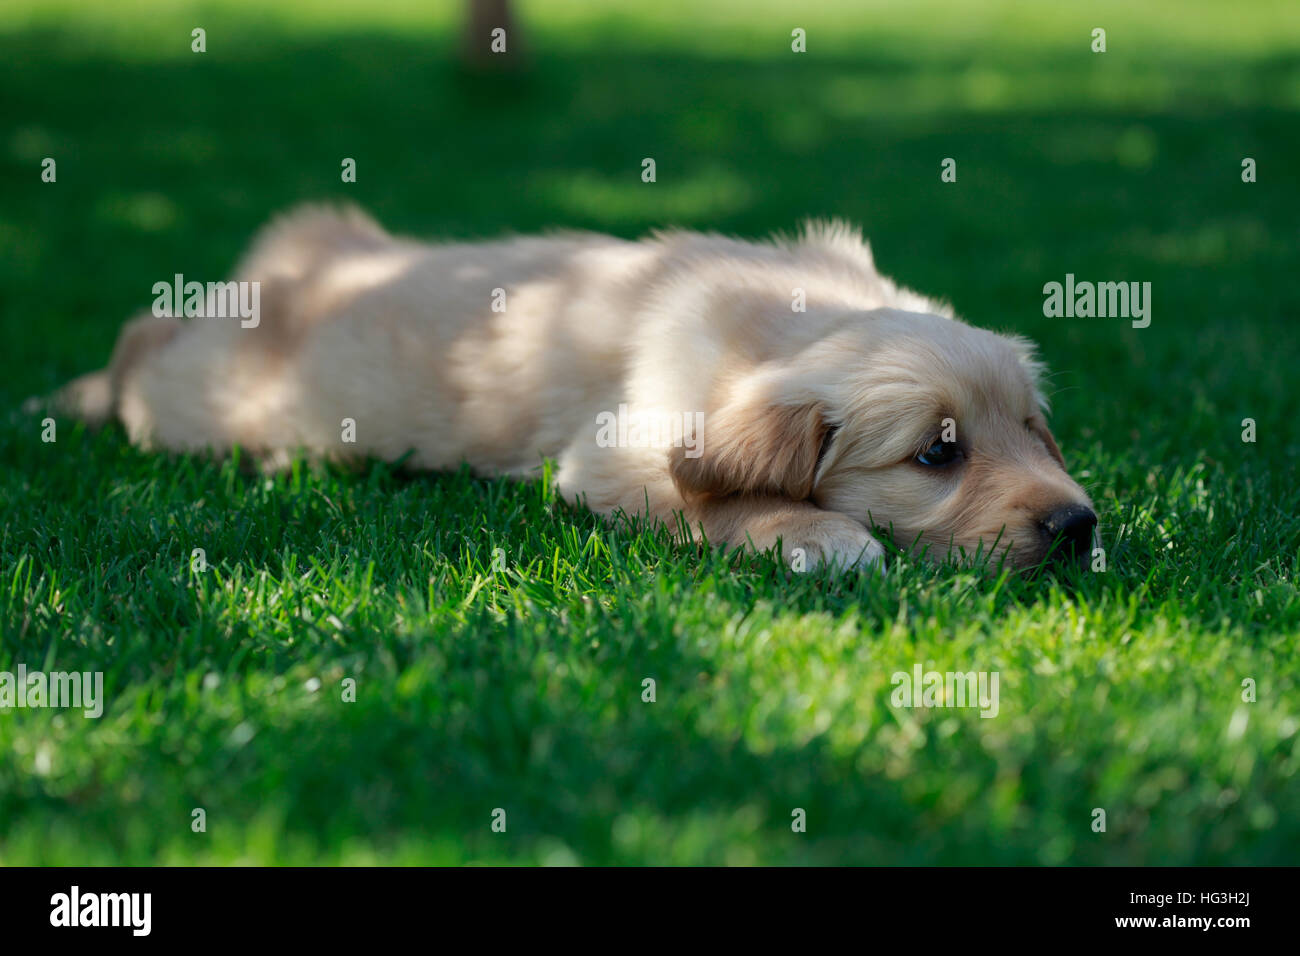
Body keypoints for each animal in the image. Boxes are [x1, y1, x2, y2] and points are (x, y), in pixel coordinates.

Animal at [55, 205, 1092, 572]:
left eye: (1036, 432)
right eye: (938, 453)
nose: (1080, 527)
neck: (781, 321)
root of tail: (311, 255)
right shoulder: (614, 455)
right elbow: (715, 497)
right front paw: (819, 535)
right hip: (205, 398)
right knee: (144, 343)